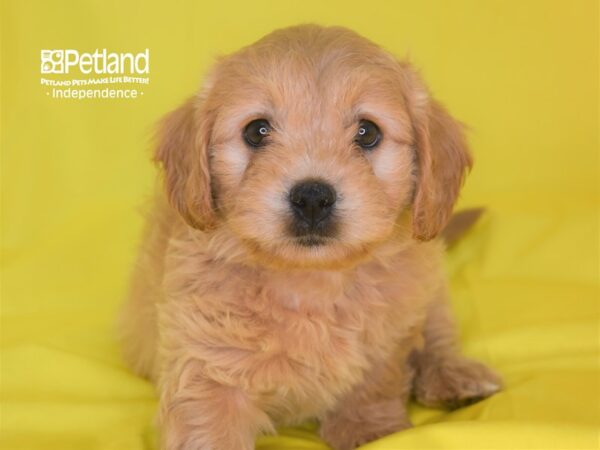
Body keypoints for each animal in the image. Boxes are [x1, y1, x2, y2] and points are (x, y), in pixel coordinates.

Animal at [118, 23, 502, 450]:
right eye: (257, 131)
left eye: (368, 132)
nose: (313, 198)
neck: (310, 282)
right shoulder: (207, 367)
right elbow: (209, 429)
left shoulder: (387, 340)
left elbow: (374, 384)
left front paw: (368, 429)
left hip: (428, 290)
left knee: (437, 337)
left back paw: (453, 377)